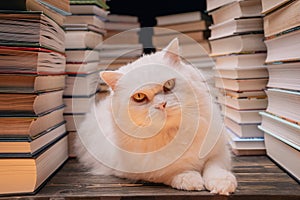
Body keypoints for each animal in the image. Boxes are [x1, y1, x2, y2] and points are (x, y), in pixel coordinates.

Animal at [76, 38, 238, 195]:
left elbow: (215, 168)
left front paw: (222, 185)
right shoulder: (139, 171)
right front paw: (190, 180)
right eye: (139, 97)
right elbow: (171, 173)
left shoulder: (220, 152)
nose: (161, 104)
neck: (172, 134)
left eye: (169, 84)